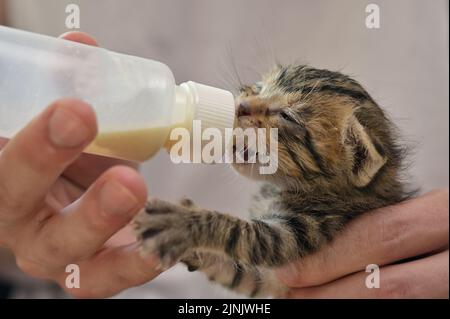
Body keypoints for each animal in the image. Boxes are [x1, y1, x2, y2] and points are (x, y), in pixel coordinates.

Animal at [132, 63, 414, 298]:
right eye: (259, 87)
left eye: (287, 116)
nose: (241, 106)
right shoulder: (264, 279)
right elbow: (236, 272)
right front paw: (192, 248)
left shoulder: (307, 228)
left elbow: (243, 234)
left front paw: (180, 223)